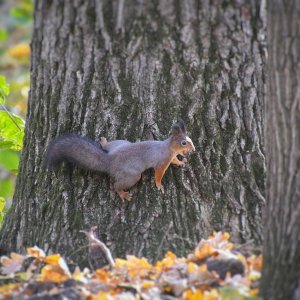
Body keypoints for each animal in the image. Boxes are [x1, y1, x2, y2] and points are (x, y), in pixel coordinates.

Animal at [44, 118, 195, 200]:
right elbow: (158, 174)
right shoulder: (162, 161)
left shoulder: (171, 157)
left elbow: (175, 161)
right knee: (116, 185)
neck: (169, 147)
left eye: (190, 139)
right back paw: (123, 194)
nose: (193, 150)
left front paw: (181, 162)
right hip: (132, 176)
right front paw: (159, 186)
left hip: (121, 143)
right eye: (184, 142)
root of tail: (109, 160)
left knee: (108, 146)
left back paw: (104, 142)